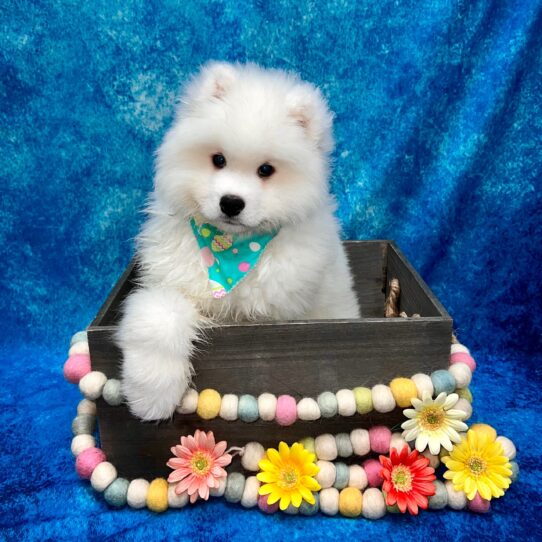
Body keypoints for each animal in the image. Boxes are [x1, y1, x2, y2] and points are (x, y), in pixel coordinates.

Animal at [116, 62, 360, 420]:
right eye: (218, 160)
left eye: (266, 170)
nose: (231, 202)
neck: (231, 249)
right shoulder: (169, 283)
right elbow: (159, 316)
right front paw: (151, 394)